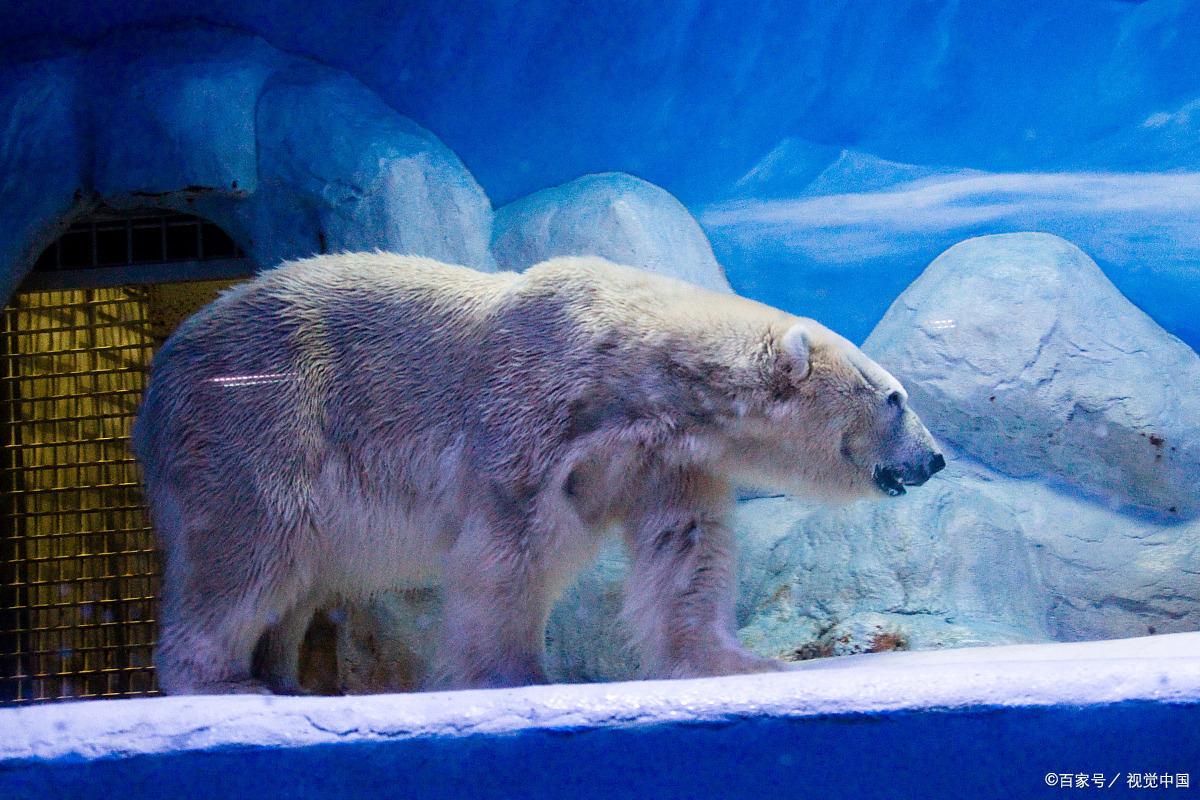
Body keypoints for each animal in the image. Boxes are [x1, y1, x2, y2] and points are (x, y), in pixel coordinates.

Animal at [133, 255, 945, 695]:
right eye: (895, 397)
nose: (935, 458)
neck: (638, 367)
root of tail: (155, 388)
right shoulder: (532, 409)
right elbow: (510, 549)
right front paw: (516, 672)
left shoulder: (663, 457)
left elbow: (686, 552)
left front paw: (733, 662)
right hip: (259, 419)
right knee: (247, 547)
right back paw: (221, 676)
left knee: (295, 576)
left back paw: (282, 674)